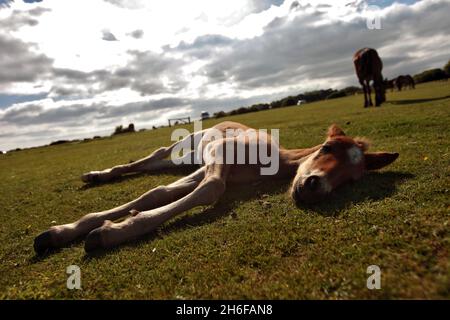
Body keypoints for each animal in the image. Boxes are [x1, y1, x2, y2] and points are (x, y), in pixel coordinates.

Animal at [33, 121, 400, 254]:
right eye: (326, 148)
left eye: (353, 178)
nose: (313, 186)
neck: (272, 158)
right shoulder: (217, 158)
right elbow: (206, 190)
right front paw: (99, 231)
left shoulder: (204, 169)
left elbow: (160, 193)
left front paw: (81, 231)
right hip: (185, 145)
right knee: (155, 154)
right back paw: (97, 174)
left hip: (187, 160)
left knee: (153, 167)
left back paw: (98, 177)